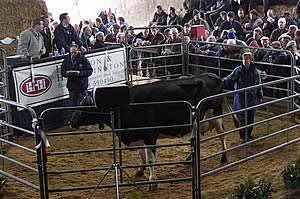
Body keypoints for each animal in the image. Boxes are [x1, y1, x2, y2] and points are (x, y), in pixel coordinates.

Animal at [71, 72, 229, 190]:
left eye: (84, 107)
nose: (71, 122)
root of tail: (214, 76)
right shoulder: (140, 135)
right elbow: (143, 154)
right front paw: (140, 170)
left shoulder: (150, 134)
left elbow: (151, 159)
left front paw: (153, 181)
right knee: (197, 137)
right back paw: (190, 158)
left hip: (216, 114)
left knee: (222, 134)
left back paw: (224, 157)